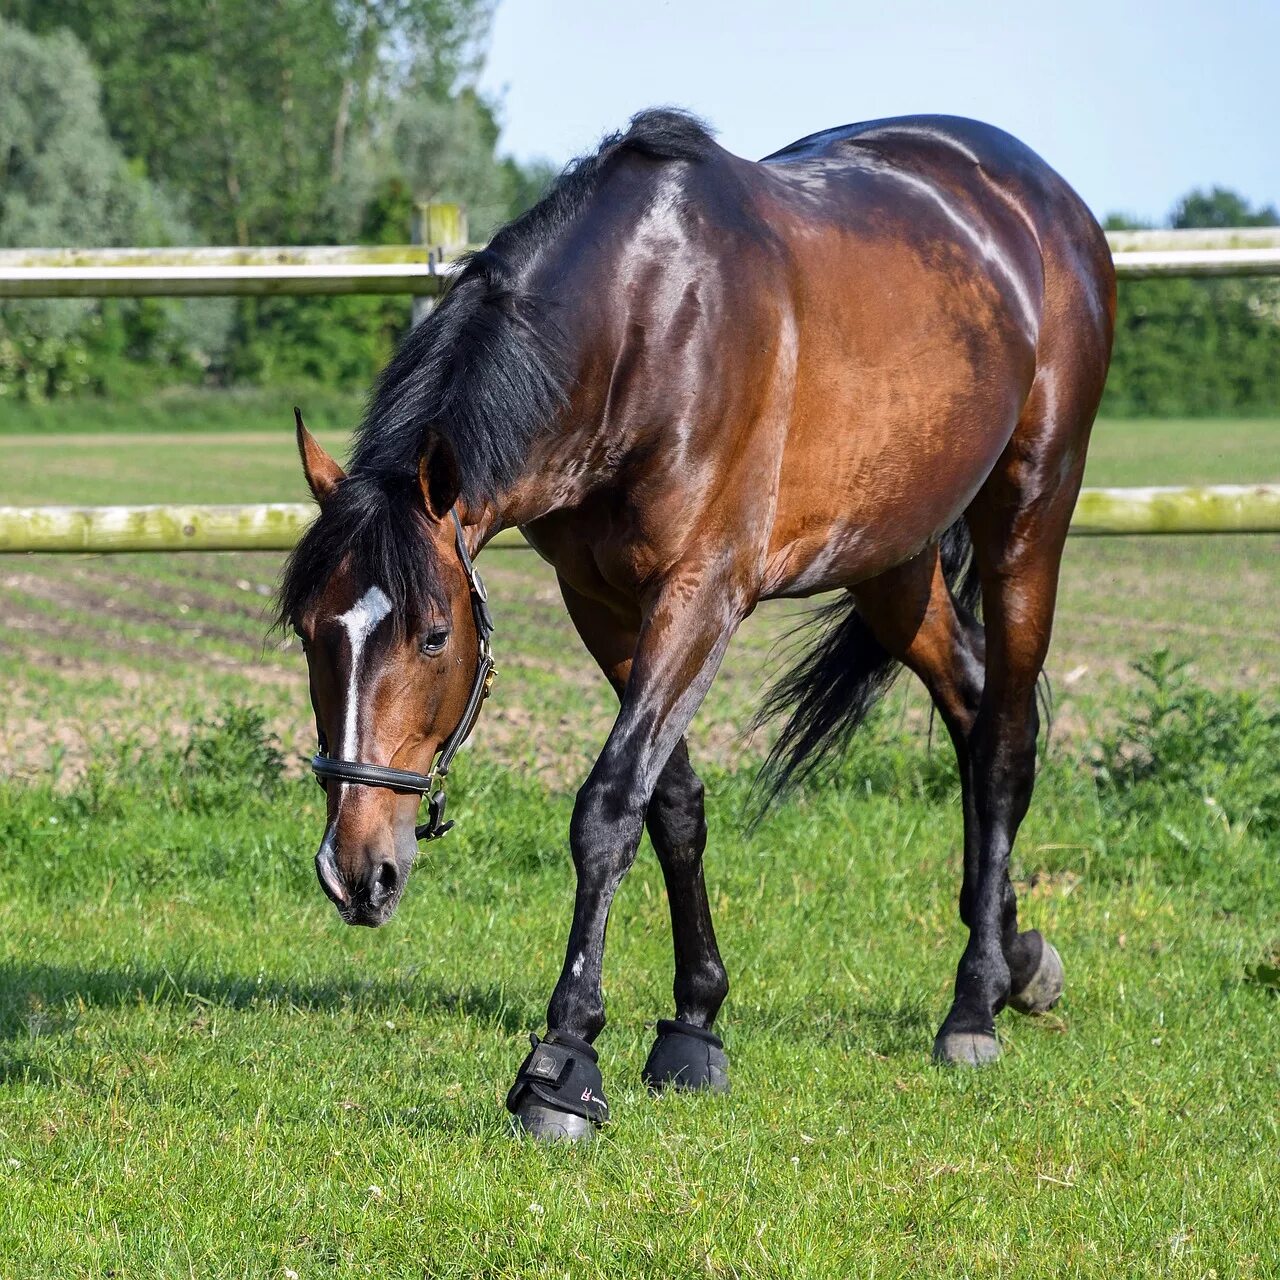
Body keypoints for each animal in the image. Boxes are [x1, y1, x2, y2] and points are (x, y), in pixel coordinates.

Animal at [277, 110, 1111, 1141]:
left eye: (435, 636)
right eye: (309, 631)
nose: (358, 873)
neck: (643, 328)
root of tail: (1046, 201)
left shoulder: (701, 593)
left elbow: (608, 806)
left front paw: (564, 1064)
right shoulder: (600, 601)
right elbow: (670, 802)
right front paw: (694, 1023)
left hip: (1028, 518)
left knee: (1003, 740)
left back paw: (973, 1004)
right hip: (894, 559)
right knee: (969, 702)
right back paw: (1016, 956)